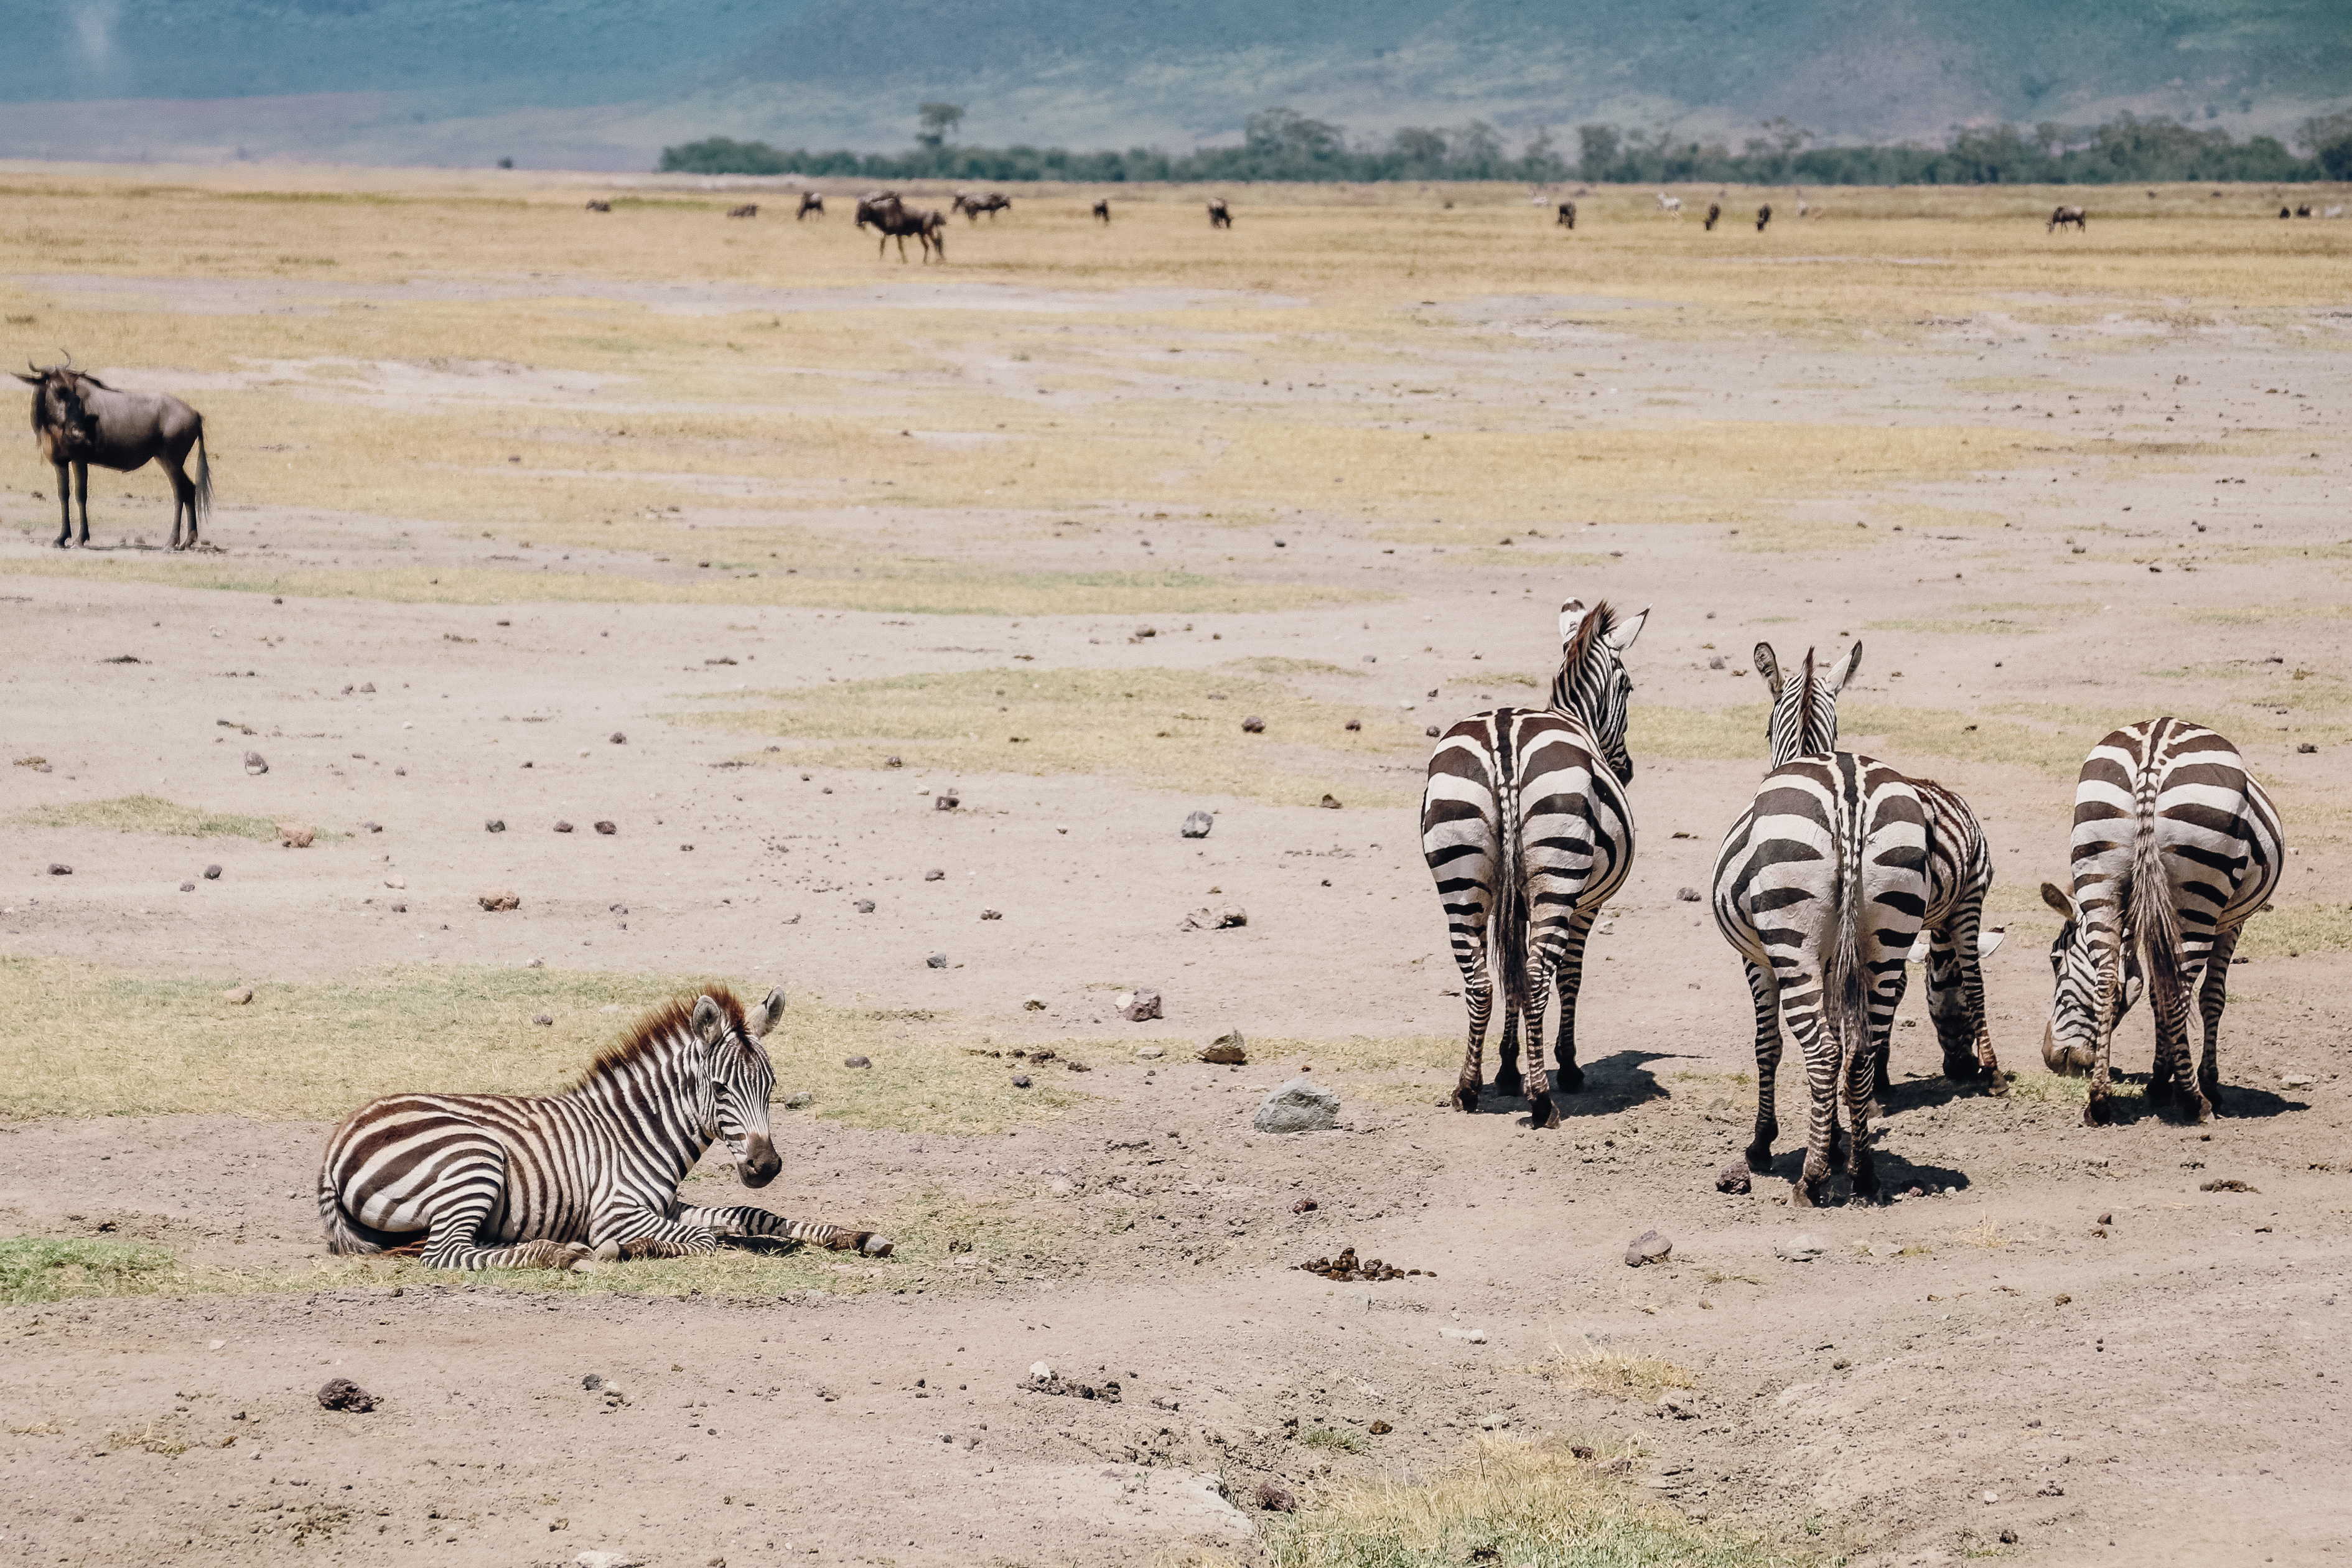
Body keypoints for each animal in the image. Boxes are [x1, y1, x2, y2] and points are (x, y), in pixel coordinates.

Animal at [317, 987, 884, 1269]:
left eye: (770, 1087)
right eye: (721, 1088)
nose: (766, 1167)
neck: (637, 1131)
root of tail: (337, 1142)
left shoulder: (667, 1205)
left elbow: (752, 1215)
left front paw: (854, 1236)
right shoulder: (616, 1212)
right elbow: (704, 1239)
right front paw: (629, 1249)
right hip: (474, 1159)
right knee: (445, 1255)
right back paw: (561, 1254)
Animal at [1411, 597, 1656, 1128]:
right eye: (1628, 686)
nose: (1627, 770)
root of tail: (1504, 738)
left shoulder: (1514, 898)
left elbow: (1513, 975)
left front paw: (1506, 1066)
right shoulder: (1585, 905)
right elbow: (1567, 977)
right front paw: (1566, 1065)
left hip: (1459, 872)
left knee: (1481, 978)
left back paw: (1468, 1089)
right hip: (1559, 878)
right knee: (1543, 974)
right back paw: (1543, 1099)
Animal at [2042, 724, 2277, 1128]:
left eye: (2055, 960)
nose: (2051, 1059)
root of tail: (2155, 747)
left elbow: (2152, 993)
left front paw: (2159, 1078)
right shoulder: (2231, 923)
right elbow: (2211, 997)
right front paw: (2202, 1083)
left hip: (2098, 868)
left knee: (2108, 982)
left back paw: (2099, 1102)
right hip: (2196, 897)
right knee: (2178, 990)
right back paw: (2195, 1101)